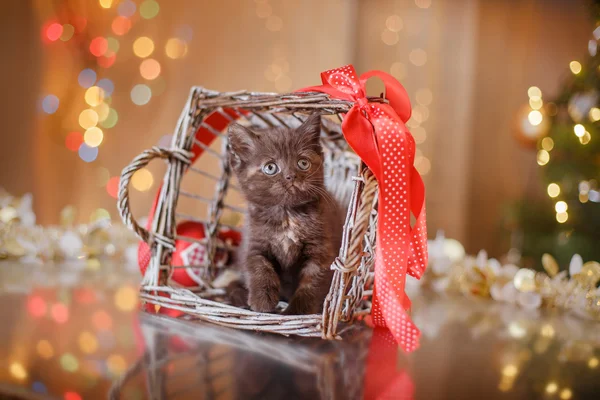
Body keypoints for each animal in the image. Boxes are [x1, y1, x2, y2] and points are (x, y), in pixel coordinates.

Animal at [227, 114, 344, 314]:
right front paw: (262, 301)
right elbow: (258, 265)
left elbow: (312, 281)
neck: (287, 215)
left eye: (303, 163)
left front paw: (297, 311)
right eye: (270, 167)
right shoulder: (254, 241)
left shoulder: (321, 249)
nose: (291, 176)